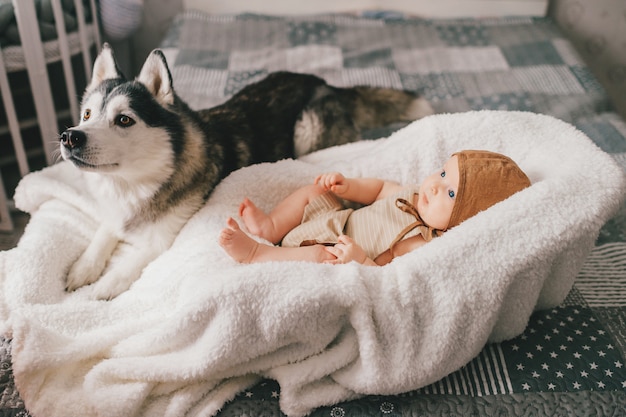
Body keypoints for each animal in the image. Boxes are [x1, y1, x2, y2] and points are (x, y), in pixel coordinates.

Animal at [59, 44, 434, 298]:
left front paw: (103, 286)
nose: (70, 136)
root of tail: (327, 83)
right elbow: (103, 233)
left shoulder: (163, 239)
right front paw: (83, 268)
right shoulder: (114, 212)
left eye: (124, 120)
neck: (134, 183)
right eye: (87, 114)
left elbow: (132, 261)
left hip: (308, 131)